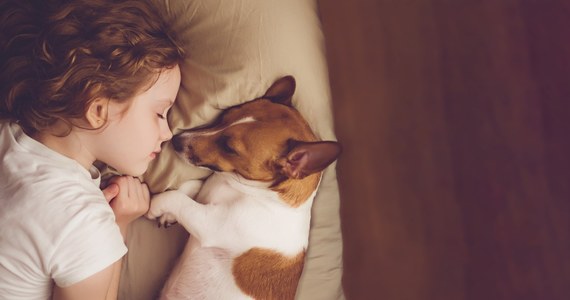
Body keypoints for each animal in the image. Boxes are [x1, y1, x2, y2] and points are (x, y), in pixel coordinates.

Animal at [146, 76, 342, 298]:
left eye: (229, 148)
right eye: (224, 116)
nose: (175, 140)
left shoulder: (210, 224)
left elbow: (176, 199)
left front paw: (154, 205)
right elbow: (191, 186)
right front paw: (168, 214)